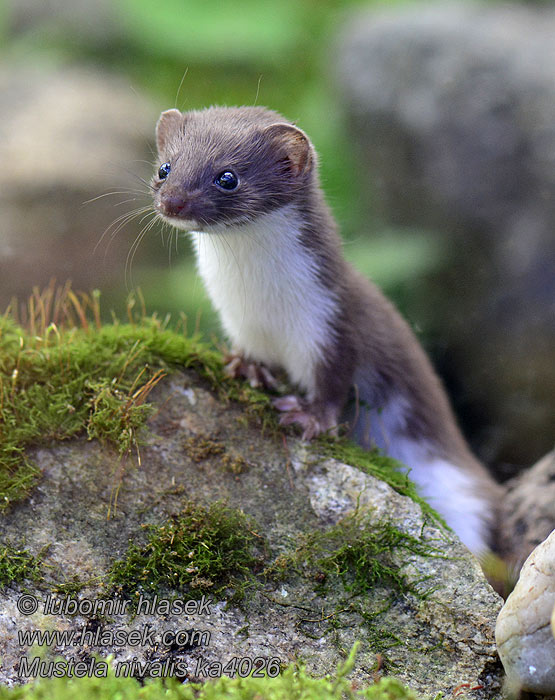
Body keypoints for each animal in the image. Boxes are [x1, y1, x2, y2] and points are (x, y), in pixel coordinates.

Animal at [152, 106, 504, 556]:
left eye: (227, 177)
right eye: (165, 167)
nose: (172, 201)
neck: (262, 307)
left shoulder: (330, 320)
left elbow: (335, 379)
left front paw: (309, 416)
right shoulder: (240, 323)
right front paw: (249, 368)